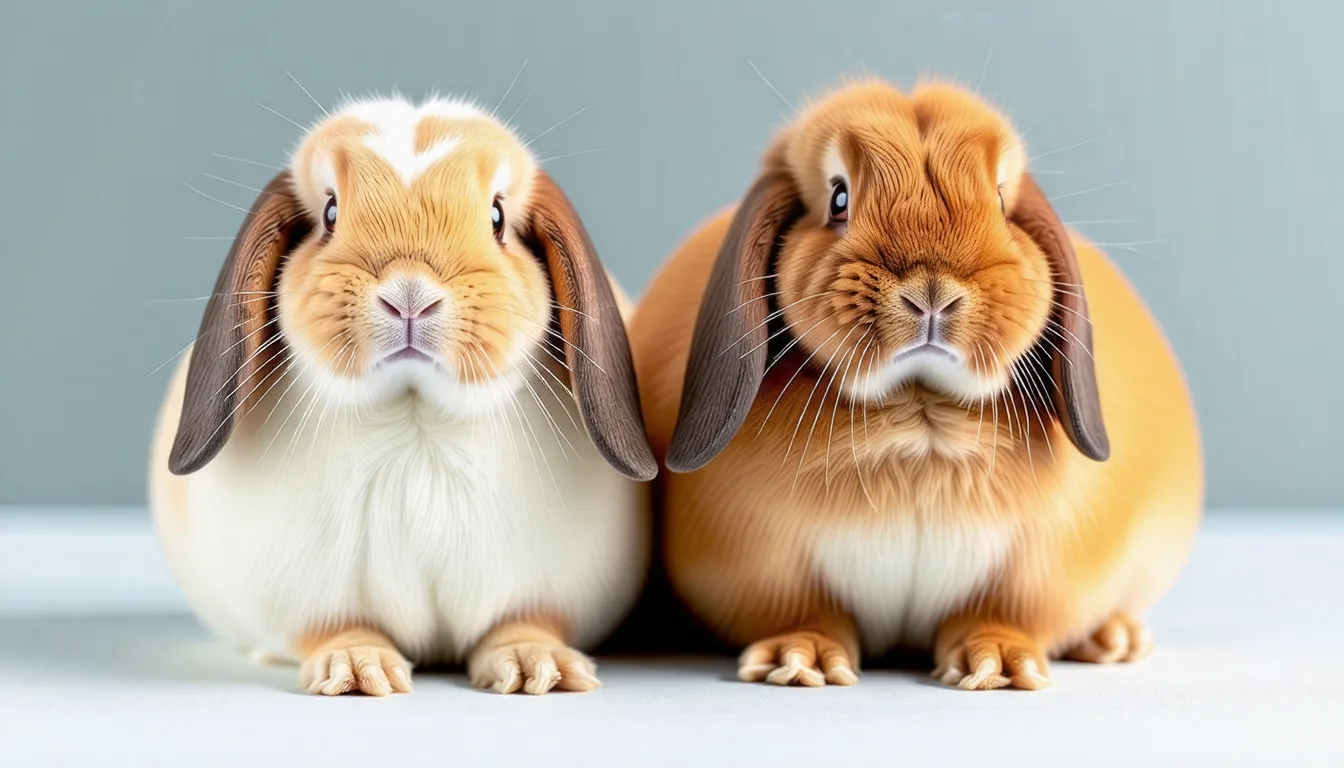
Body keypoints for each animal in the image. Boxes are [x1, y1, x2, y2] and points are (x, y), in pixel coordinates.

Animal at [149, 94, 657, 696]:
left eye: (497, 218)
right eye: (329, 214)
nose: (409, 294)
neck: (418, 421)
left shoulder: (539, 590)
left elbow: (522, 623)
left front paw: (540, 667)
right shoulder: (315, 603)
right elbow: (338, 631)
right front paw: (355, 671)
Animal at [629, 79, 1203, 690]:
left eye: (1002, 201)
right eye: (838, 199)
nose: (933, 291)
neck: (920, 411)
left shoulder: (1036, 568)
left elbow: (1000, 615)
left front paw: (1000, 666)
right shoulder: (769, 566)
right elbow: (807, 613)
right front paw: (799, 660)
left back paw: (1114, 640)